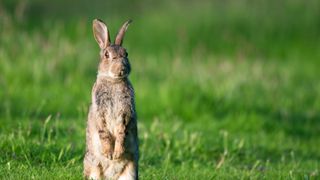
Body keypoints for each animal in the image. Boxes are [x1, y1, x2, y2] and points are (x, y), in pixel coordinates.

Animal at [83, 18, 138, 180]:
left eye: (126, 53)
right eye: (107, 55)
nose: (122, 68)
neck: (113, 81)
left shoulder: (125, 112)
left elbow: (121, 132)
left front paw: (117, 153)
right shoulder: (99, 111)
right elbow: (104, 133)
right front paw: (109, 154)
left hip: (131, 170)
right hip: (93, 167)